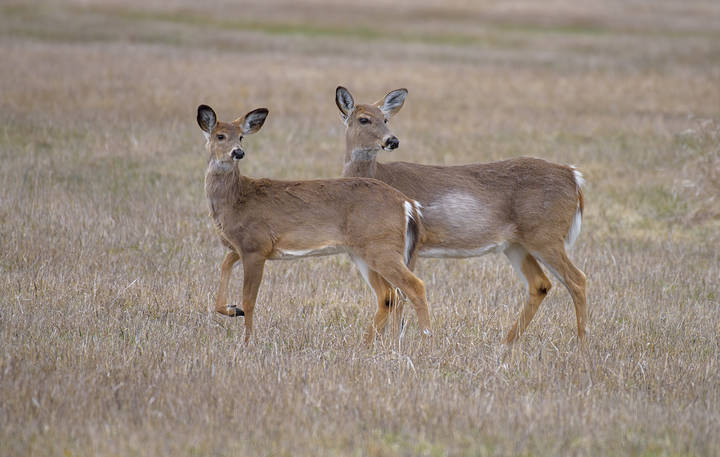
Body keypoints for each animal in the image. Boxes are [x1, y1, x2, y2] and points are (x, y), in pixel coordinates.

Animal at [197, 104, 431, 344]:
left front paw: (247, 341)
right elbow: (224, 266)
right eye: (220, 136)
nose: (238, 152)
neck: (235, 200)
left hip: (380, 246)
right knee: (388, 295)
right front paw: (232, 309)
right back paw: (366, 344)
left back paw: (426, 340)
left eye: (241, 137)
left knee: (414, 286)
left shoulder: (255, 246)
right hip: (363, 251)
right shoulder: (240, 247)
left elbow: (249, 299)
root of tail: (407, 203)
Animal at [335, 86, 587, 345]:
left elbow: (400, 294)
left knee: (577, 280)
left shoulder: (410, 243)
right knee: (540, 284)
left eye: (386, 119)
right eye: (364, 119)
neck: (378, 175)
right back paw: (506, 343)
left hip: (546, 235)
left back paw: (582, 343)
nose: (392, 140)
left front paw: (395, 344)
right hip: (517, 244)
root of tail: (573, 176)